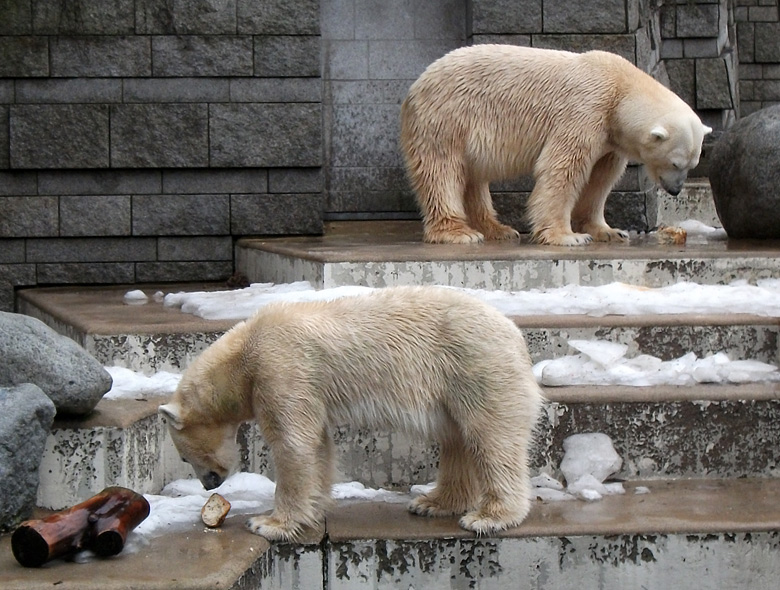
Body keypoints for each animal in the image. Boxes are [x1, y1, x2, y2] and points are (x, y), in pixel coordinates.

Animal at [158, 286, 544, 540]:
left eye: (184, 455)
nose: (210, 483)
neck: (242, 354)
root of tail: (515, 335)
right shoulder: (302, 386)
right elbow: (316, 444)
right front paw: (312, 509)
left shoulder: (280, 366)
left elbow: (293, 443)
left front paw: (268, 523)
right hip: (454, 384)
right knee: (457, 437)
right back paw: (432, 502)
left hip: (477, 366)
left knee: (491, 437)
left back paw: (489, 517)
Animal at [402, 45, 712, 246]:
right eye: (675, 162)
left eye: (693, 164)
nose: (676, 190)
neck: (620, 89)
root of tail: (417, 84)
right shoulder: (585, 111)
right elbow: (563, 168)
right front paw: (567, 236)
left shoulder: (610, 138)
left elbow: (601, 178)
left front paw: (609, 231)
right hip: (447, 119)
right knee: (442, 171)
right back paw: (459, 232)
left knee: (473, 179)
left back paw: (497, 228)